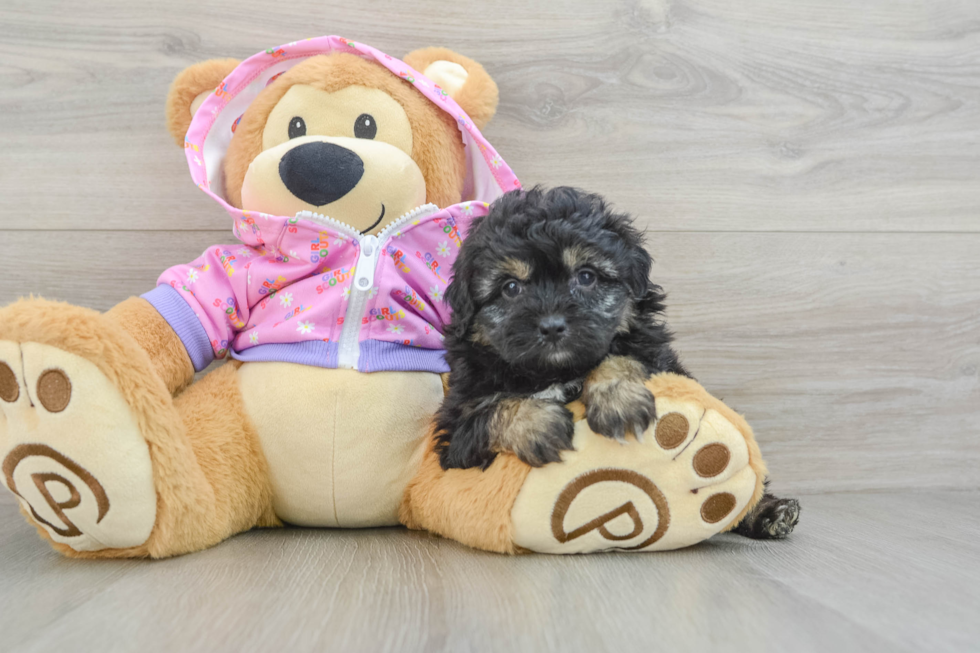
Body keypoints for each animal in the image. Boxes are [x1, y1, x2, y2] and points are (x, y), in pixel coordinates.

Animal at [434, 185, 796, 540]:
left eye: (586, 277)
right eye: (511, 287)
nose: (551, 325)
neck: (556, 371)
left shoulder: (656, 355)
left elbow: (619, 357)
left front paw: (617, 401)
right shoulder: (455, 433)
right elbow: (488, 412)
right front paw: (537, 424)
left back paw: (769, 511)